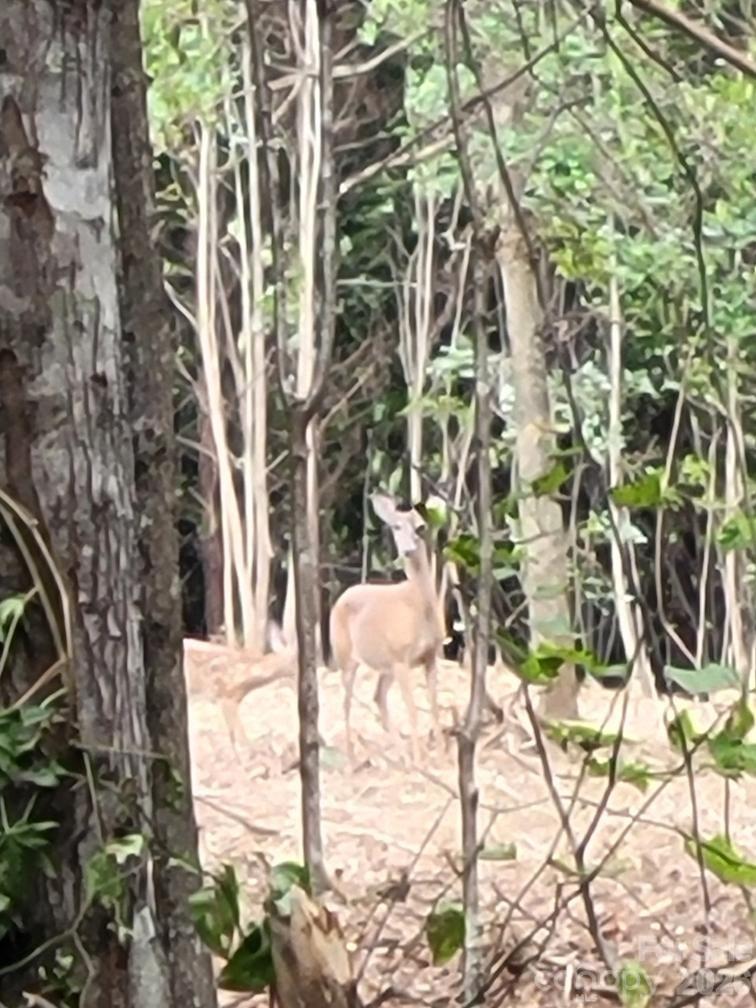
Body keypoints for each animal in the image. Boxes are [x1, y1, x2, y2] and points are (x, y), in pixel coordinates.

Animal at [329, 492, 445, 765]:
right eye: (396, 527)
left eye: (420, 527)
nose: (408, 549)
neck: (418, 607)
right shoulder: (402, 656)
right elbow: (412, 709)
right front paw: (420, 760)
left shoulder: (430, 655)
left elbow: (434, 705)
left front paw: (444, 755)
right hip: (344, 655)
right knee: (346, 703)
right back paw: (352, 760)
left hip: (385, 665)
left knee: (378, 697)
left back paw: (400, 754)